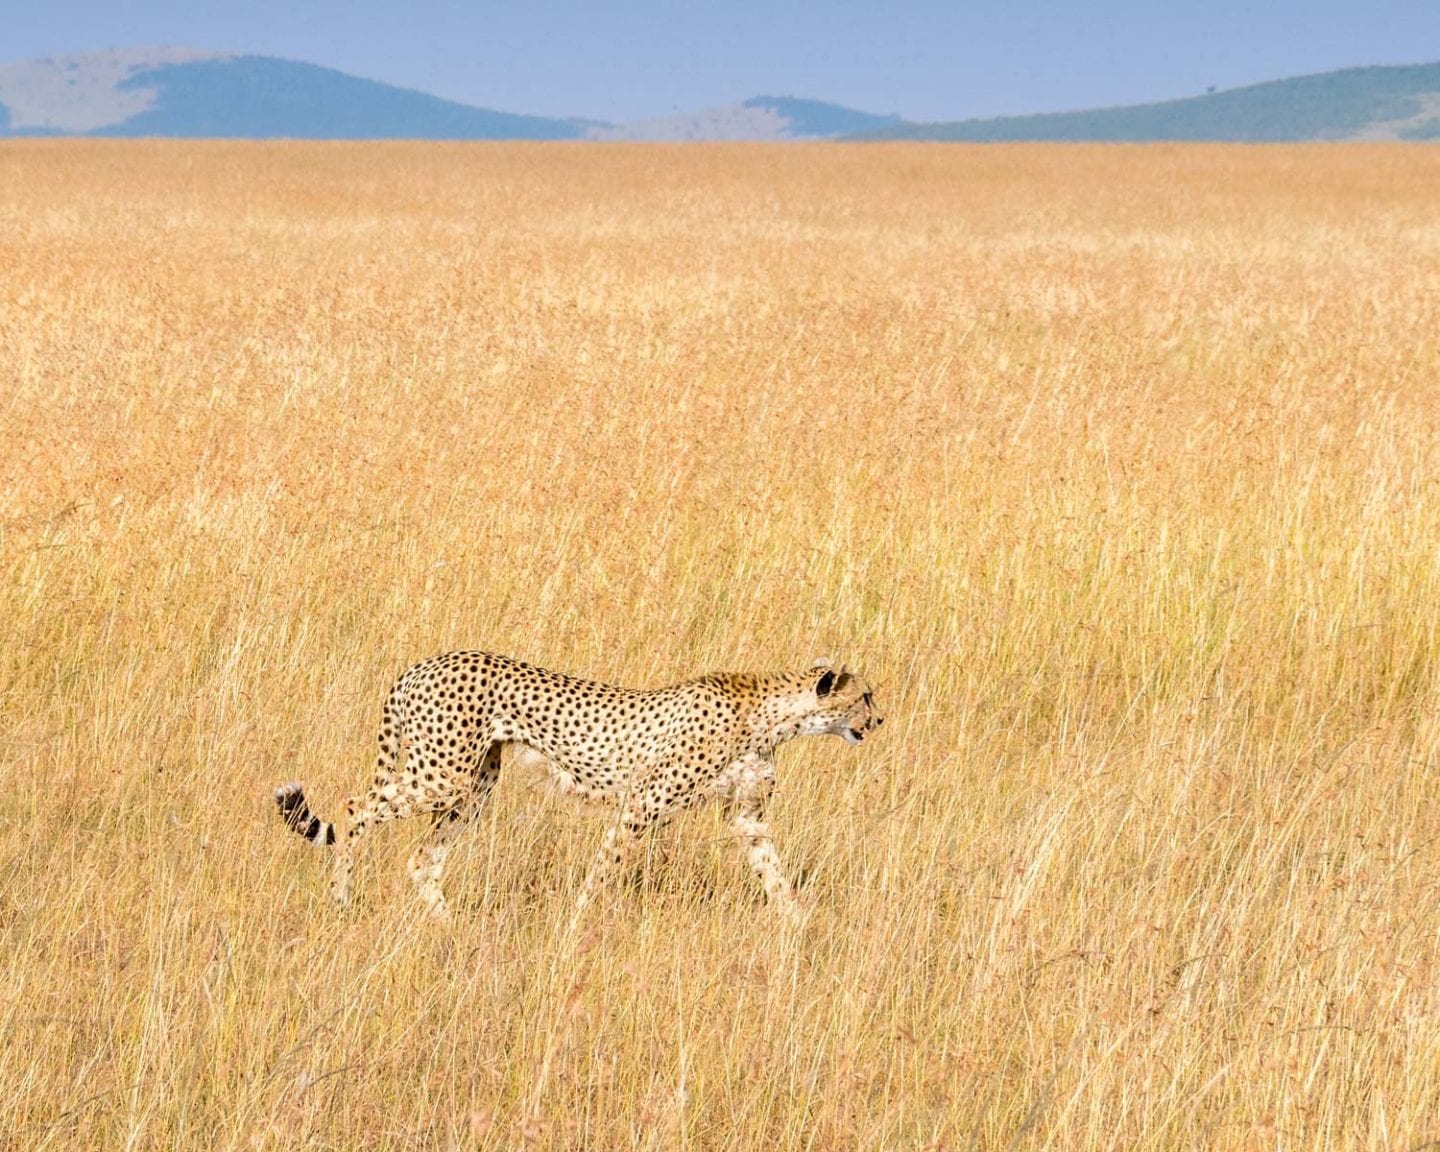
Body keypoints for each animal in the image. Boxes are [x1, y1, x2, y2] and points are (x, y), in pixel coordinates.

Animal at [274, 651, 884, 921]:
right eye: (865, 696)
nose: (880, 720)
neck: (771, 714)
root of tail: (421, 665)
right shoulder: (642, 806)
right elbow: (605, 871)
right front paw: (577, 925)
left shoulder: (747, 817)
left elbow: (775, 875)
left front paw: (798, 929)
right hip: (440, 775)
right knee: (354, 807)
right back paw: (342, 899)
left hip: (473, 787)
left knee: (423, 858)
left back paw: (449, 927)